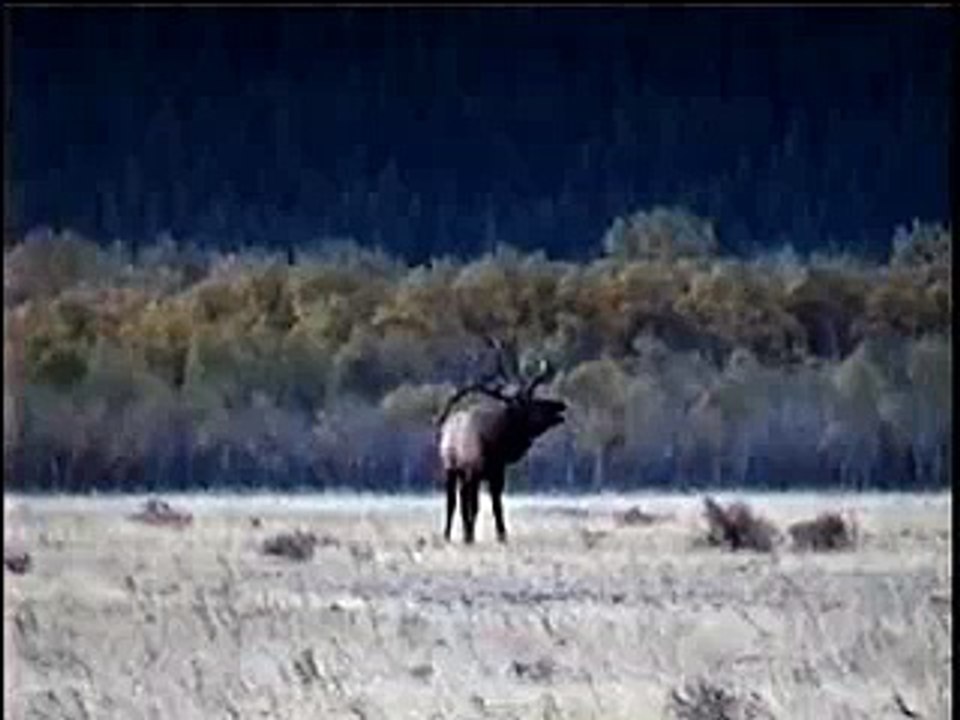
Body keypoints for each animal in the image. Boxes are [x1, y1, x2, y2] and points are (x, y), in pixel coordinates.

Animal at [435, 337, 567, 544]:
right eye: (533, 403)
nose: (560, 404)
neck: (496, 443)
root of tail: (446, 424)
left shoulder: (497, 473)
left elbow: (497, 505)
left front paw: (501, 535)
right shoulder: (474, 472)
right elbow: (473, 506)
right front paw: (470, 536)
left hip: (465, 475)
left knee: (463, 500)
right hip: (451, 469)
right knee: (453, 502)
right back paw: (448, 535)